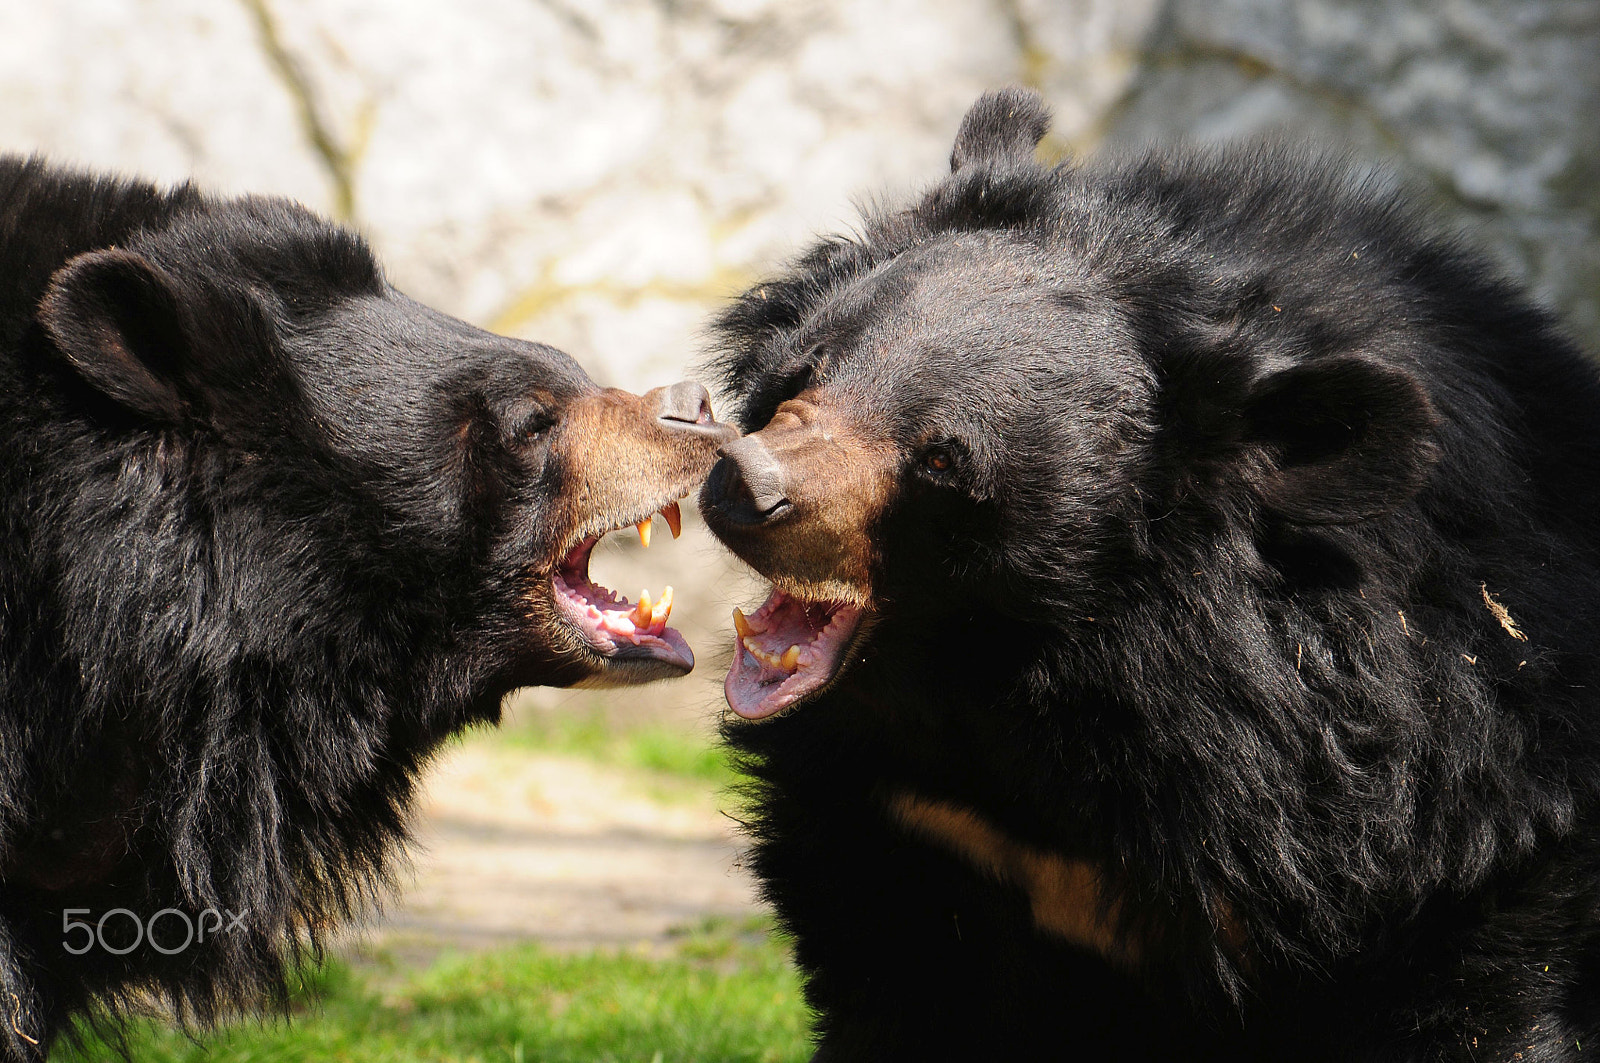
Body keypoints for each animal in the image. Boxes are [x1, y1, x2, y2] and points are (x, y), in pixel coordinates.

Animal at [699, 88, 1600, 1061]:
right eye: (811, 366)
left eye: (941, 458)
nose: (746, 486)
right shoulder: (903, 823)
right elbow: (900, 984)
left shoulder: (1460, 819)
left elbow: (1482, 1000)